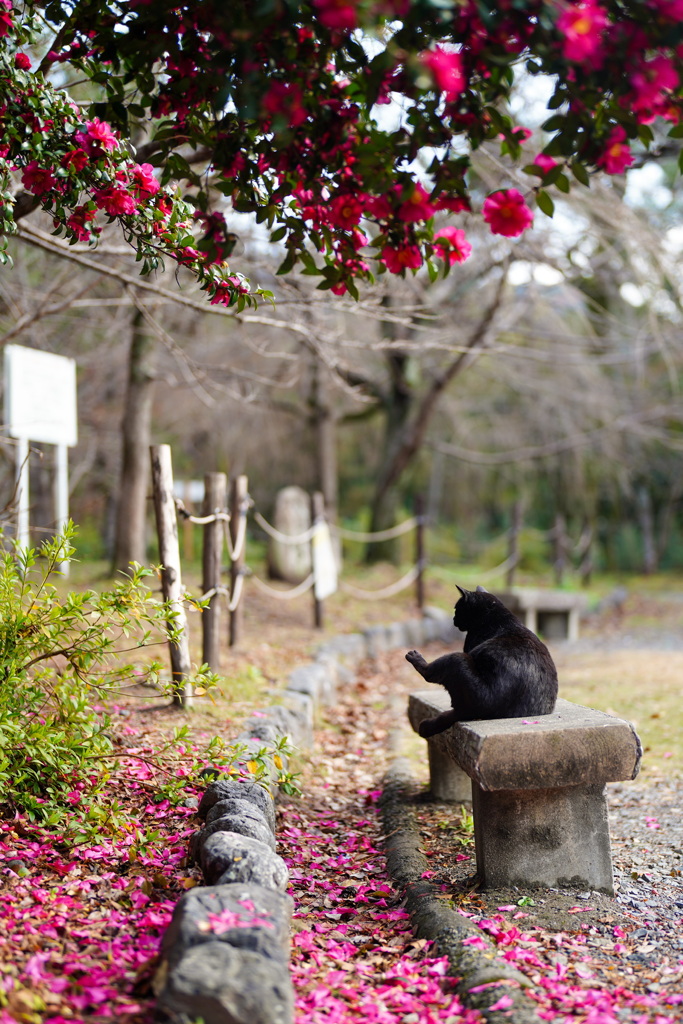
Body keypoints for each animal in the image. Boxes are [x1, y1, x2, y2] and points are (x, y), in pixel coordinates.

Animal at [405, 585, 557, 737]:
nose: (453, 618)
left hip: (457, 659)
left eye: (456, 608)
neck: (497, 618)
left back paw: (415, 658)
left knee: (429, 673)